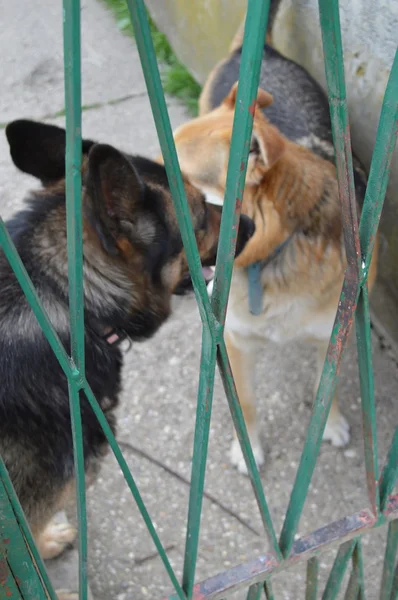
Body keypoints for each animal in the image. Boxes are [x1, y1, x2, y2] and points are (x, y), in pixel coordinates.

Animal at [169, 39, 378, 474]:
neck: (277, 248)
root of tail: (260, 49)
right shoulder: (235, 342)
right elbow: (246, 404)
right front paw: (247, 450)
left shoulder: (333, 336)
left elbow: (326, 389)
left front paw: (332, 424)